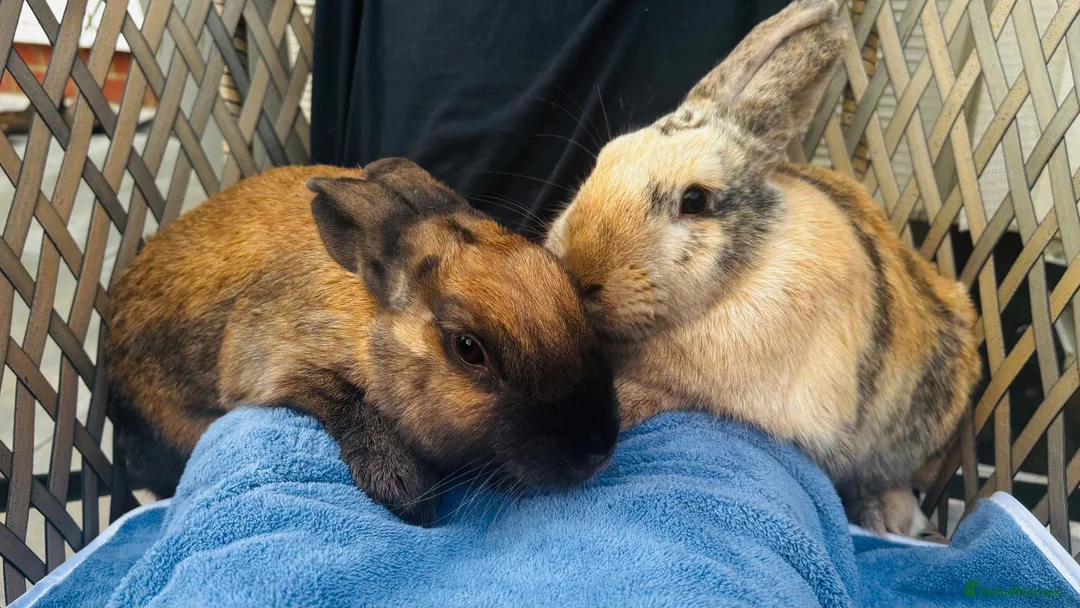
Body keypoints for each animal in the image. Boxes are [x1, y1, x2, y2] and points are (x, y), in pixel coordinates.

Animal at [105, 158, 619, 526]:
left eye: (569, 286)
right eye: (467, 348)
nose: (597, 448)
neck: (366, 323)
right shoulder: (274, 365)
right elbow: (343, 400)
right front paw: (406, 492)